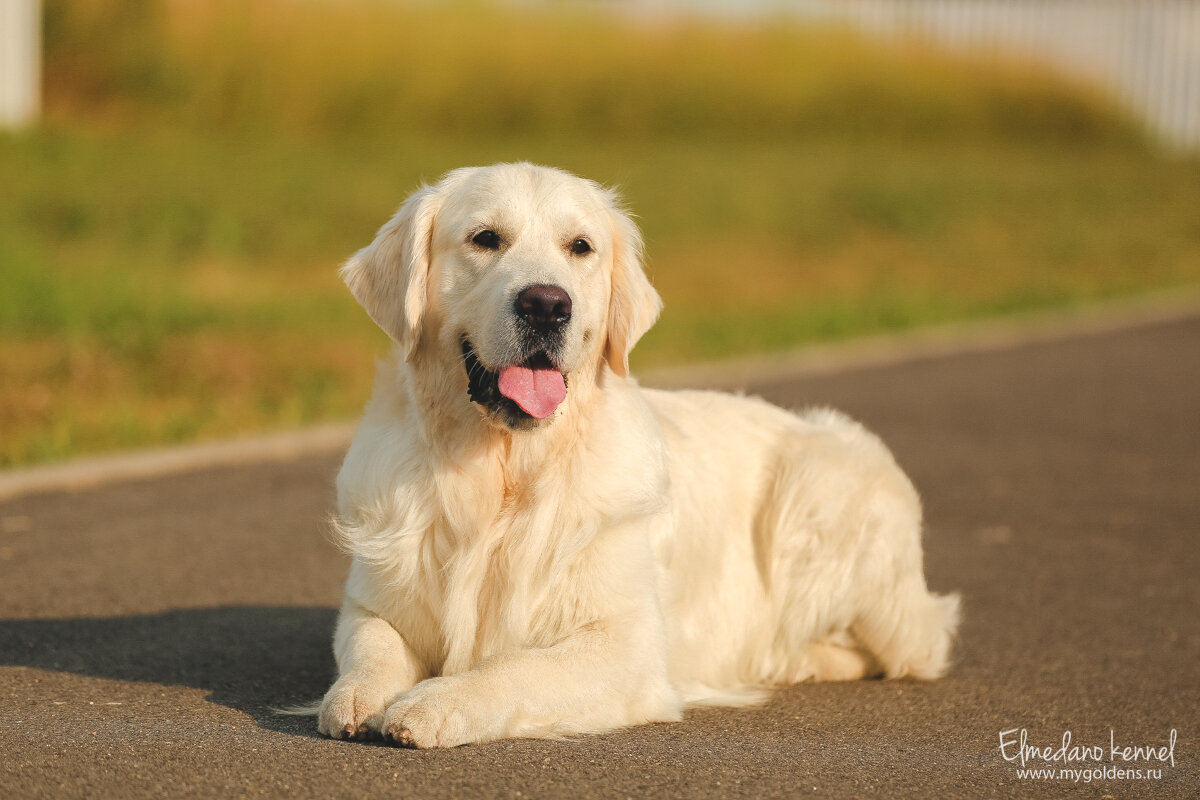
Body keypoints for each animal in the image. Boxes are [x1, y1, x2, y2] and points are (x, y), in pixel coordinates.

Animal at [314, 164, 960, 753]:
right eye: (485, 237)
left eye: (581, 247)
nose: (547, 305)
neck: (505, 475)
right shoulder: (371, 602)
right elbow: (371, 646)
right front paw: (357, 695)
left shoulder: (626, 646)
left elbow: (514, 667)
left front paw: (434, 704)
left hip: (816, 487)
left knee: (912, 649)